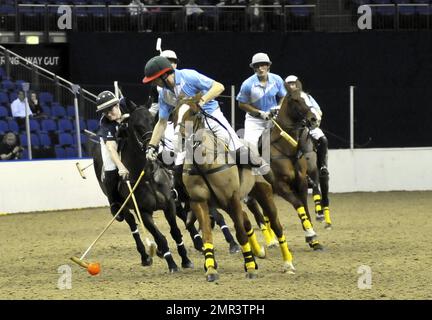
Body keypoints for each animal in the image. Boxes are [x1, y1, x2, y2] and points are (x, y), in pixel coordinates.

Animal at [90, 102, 197, 272]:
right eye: (136, 126)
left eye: (154, 122)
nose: (153, 148)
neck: (147, 176)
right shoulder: (143, 211)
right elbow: (160, 237)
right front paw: (172, 264)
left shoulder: (169, 204)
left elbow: (175, 231)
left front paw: (186, 260)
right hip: (124, 208)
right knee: (133, 226)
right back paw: (145, 256)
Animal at [174, 96, 296, 282]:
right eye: (173, 114)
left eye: (194, 113)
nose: (180, 139)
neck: (204, 165)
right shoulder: (199, 201)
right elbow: (207, 234)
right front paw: (211, 269)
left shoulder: (231, 197)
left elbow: (240, 233)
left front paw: (251, 268)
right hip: (228, 203)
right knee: (246, 219)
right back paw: (259, 253)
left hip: (263, 193)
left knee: (276, 225)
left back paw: (287, 263)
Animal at [270, 89, 324, 251]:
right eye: (296, 100)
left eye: (308, 97)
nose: (314, 119)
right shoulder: (280, 186)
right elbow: (298, 204)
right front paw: (311, 234)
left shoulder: (301, 182)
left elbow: (304, 206)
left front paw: (313, 240)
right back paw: (271, 241)